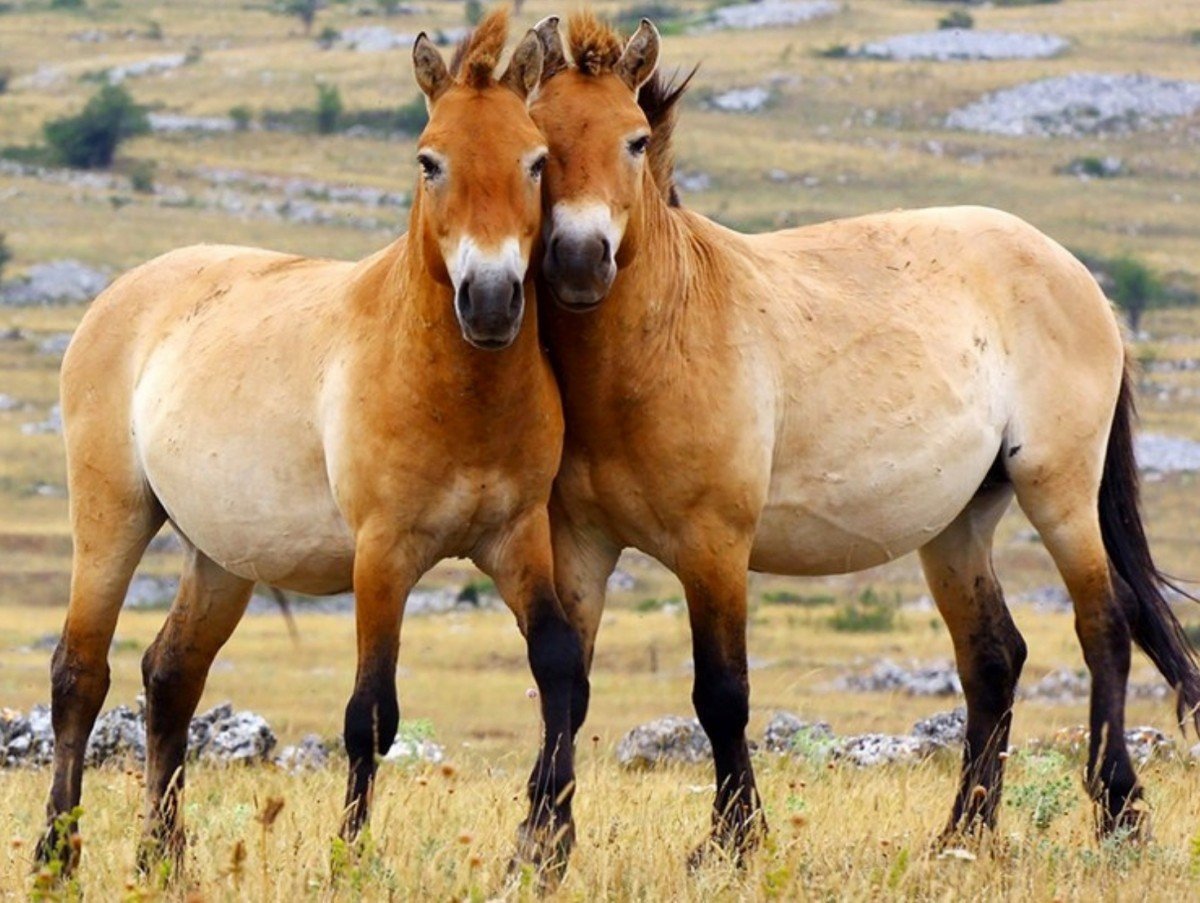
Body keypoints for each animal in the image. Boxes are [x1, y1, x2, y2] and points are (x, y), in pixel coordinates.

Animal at [36, 12, 587, 880]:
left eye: (536, 160)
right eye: (429, 161)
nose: (493, 300)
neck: (454, 390)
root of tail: (119, 294)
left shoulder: (514, 537)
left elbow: (559, 664)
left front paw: (549, 850)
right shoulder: (383, 555)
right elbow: (371, 714)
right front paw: (350, 856)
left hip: (221, 555)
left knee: (171, 674)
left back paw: (164, 857)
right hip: (112, 517)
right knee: (79, 675)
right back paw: (56, 854)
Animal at [528, 12, 1200, 864]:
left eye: (636, 140)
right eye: (539, 142)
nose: (581, 260)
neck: (662, 337)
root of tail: (1080, 277)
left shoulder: (715, 546)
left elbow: (722, 693)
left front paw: (734, 838)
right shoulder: (580, 543)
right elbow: (566, 683)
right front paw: (541, 841)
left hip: (1059, 489)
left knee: (1103, 627)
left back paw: (1119, 814)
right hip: (958, 523)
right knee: (994, 658)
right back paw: (965, 828)